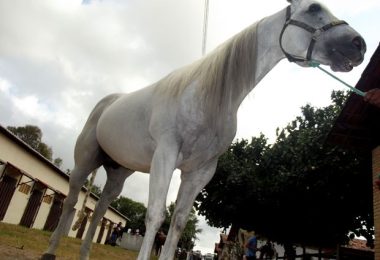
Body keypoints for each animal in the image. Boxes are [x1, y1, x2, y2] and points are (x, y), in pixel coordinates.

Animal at [41, 0, 366, 258]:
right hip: (85, 160)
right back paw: (50, 251)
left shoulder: (200, 172)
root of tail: (106, 104)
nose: (358, 44)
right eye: (314, 8)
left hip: (119, 172)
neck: (205, 97)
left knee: (99, 209)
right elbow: (155, 215)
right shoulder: (165, 156)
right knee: (71, 202)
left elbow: (177, 225)